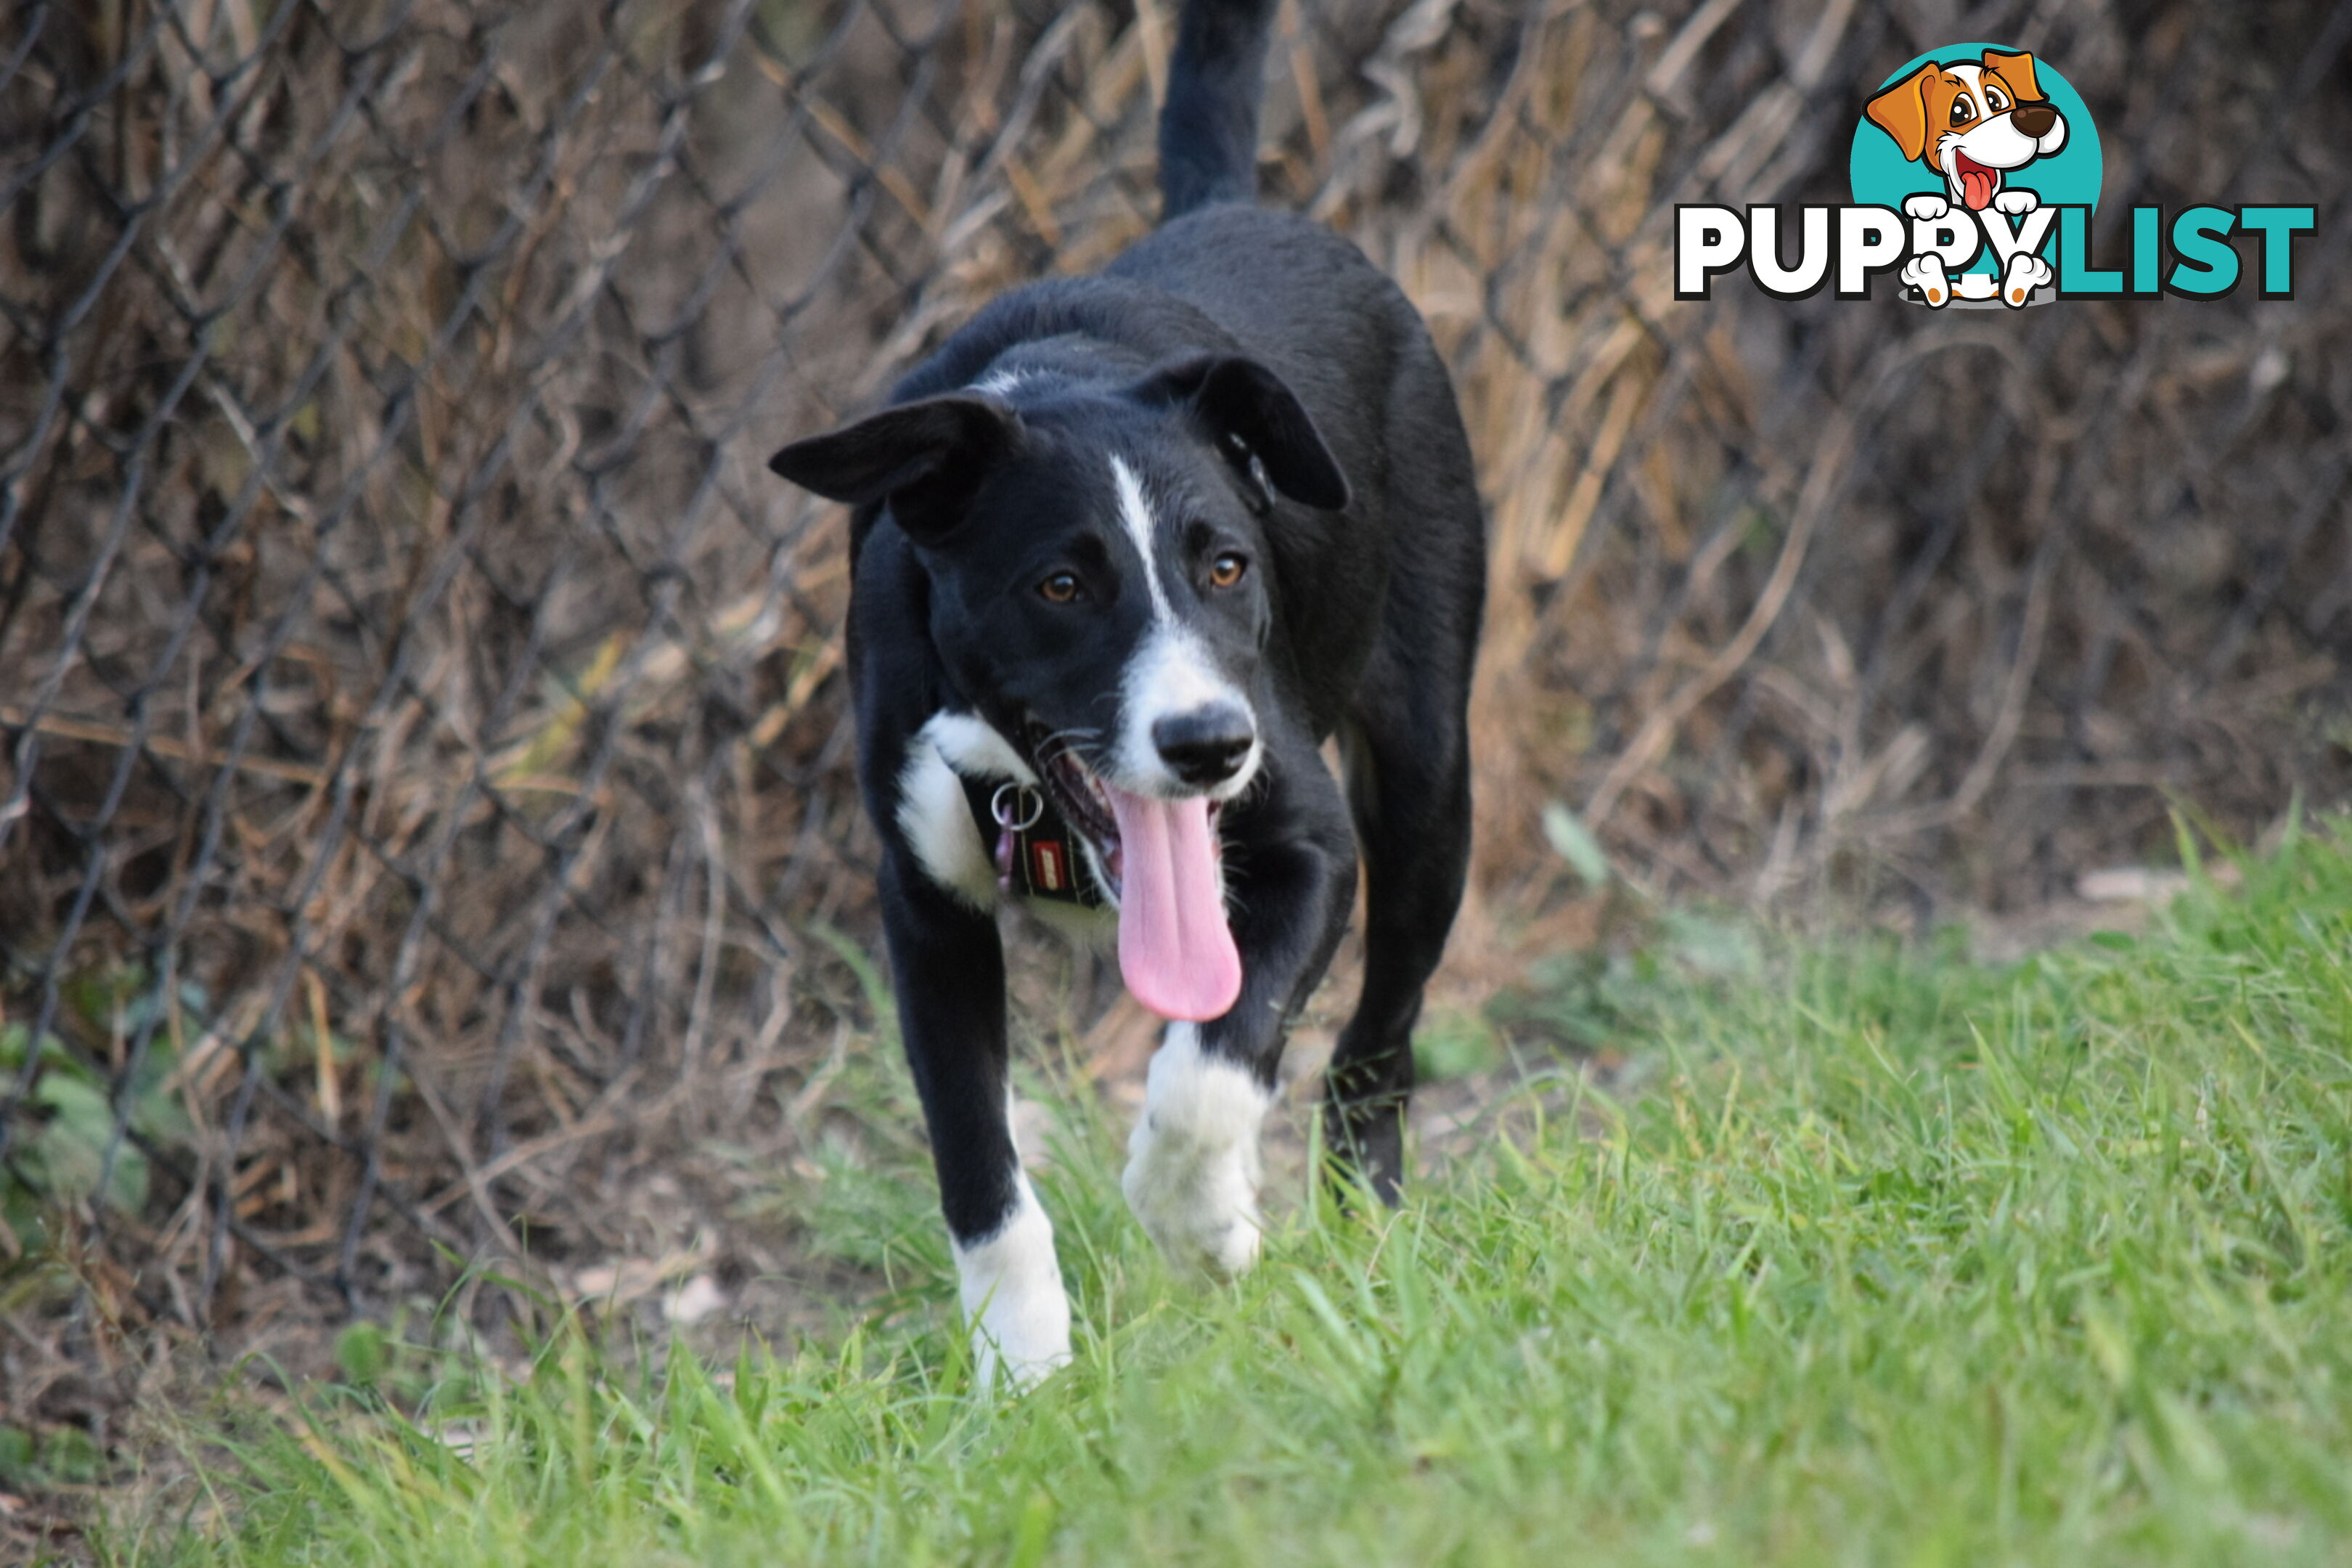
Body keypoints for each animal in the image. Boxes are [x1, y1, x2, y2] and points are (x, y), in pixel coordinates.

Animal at [771, 0, 1477, 1382]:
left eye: (1227, 564)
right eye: (1059, 585)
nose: (1205, 744)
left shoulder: (1309, 844)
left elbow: (1208, 1066)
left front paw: (1204, 1227)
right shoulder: (923, 908)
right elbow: (977, 1165)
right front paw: (1025, 1372)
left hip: (1430, 779)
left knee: (1380, 1037)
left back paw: (1366, 1220)